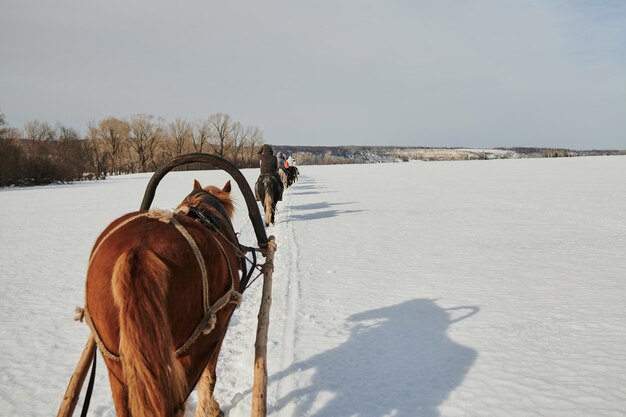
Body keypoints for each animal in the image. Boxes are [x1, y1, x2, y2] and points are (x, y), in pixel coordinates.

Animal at [86, 179, 243, 416]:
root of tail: (138, 252)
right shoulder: (219, 330)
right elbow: (209, 376)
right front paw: (212, 408)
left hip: (115, 361)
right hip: (192, 350)